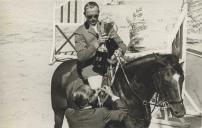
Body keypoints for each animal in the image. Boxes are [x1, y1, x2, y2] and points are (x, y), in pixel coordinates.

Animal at [51, 53, 185, 128]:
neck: (131, 93)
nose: (180, 112)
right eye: (165, 81)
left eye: (182, 79)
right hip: (58, 112)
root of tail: (62, 66)